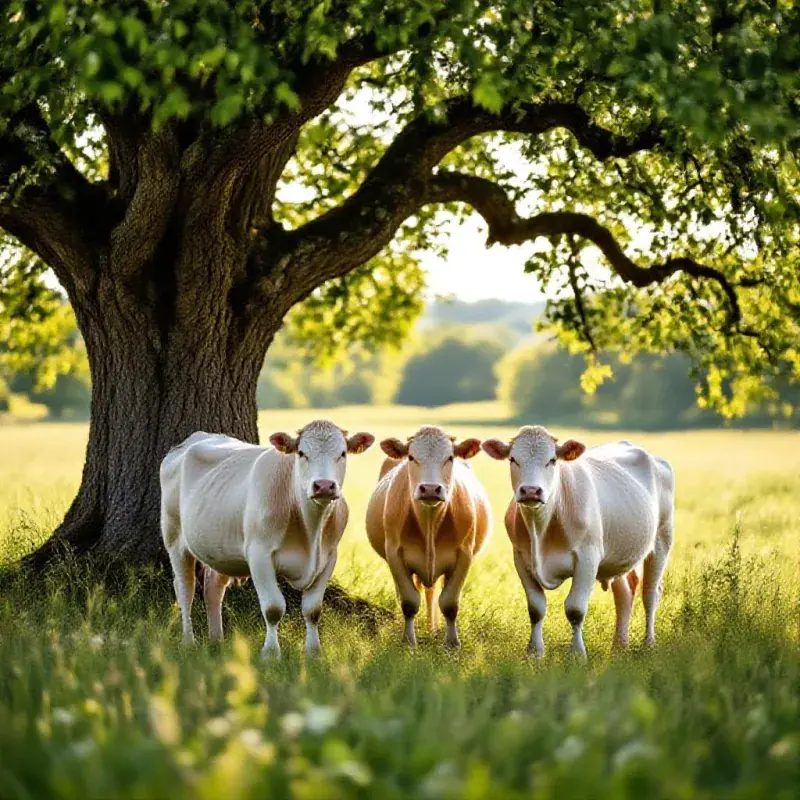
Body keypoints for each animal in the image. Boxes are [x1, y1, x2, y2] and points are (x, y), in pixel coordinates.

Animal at [160, 421, 375, 658]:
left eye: (342, 453)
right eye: (302, 453)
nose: (324, 485)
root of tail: (193, 439)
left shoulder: (329, 558)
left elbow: (313, 610)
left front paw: (314, 653)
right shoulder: (259, 555)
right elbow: (273, 608)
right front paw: (271, 653)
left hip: (220, 547)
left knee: (213, 589)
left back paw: (217, 640)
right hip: (174, 537)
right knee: (185, 589)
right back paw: (188, 642)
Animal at [365, 426, 492, 649]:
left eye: (449, 457)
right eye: (411, 457)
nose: (431, 489)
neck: (430, 522)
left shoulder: (464, 554)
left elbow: (449, 603)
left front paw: (452, 643)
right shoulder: (394, 553)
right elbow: (409, 601)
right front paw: (408, 641)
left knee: (432, 593)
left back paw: (433, 628)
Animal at [482, 426, 674, 658]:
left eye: (552, 460)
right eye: (513, 459)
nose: (530, 490)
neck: (541, 528)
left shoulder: (588, 558)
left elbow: (575, 609)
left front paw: (577, 654)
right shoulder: (520, 558)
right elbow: (536, 608)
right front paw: (535, 652)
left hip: (662, 538)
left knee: (650, 593)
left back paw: (648, 643)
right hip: (619, 552)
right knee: (625, 593)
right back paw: (619, 646)